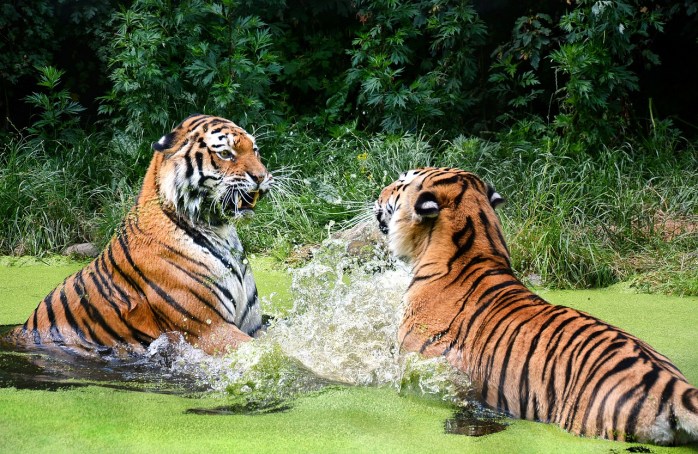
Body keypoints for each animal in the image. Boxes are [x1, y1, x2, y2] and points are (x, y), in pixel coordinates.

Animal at [5, 114, 273, 356]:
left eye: (255, 150)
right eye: (226, 153)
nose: (262, 176)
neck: (221, 231)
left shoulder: (252, 326)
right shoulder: (210, 329)